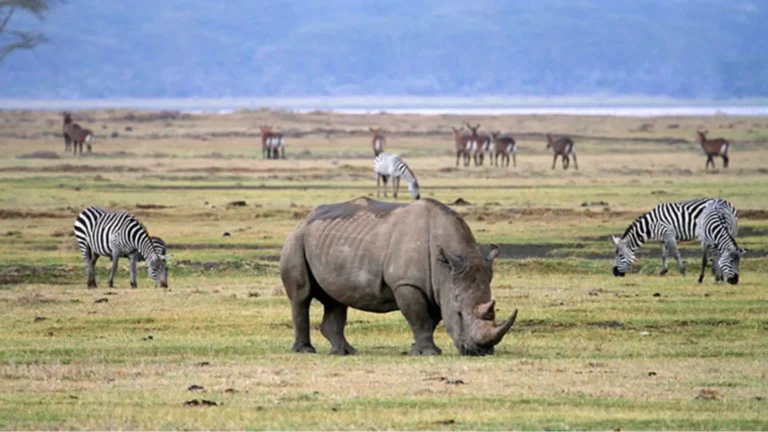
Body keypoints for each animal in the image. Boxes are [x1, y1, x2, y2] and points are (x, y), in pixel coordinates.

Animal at [279, 196, 518, 356]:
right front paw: (429, 353)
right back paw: (305, 351)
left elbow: (430, 319)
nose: (481, 352)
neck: (446, 267)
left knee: (336, 299)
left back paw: (345, 352)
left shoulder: (439, 287)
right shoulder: (407, 284)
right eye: (459, 314)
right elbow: (419, 318)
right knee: (301, 296)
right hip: (296, 239)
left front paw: (416, 350)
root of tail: (305, 219)